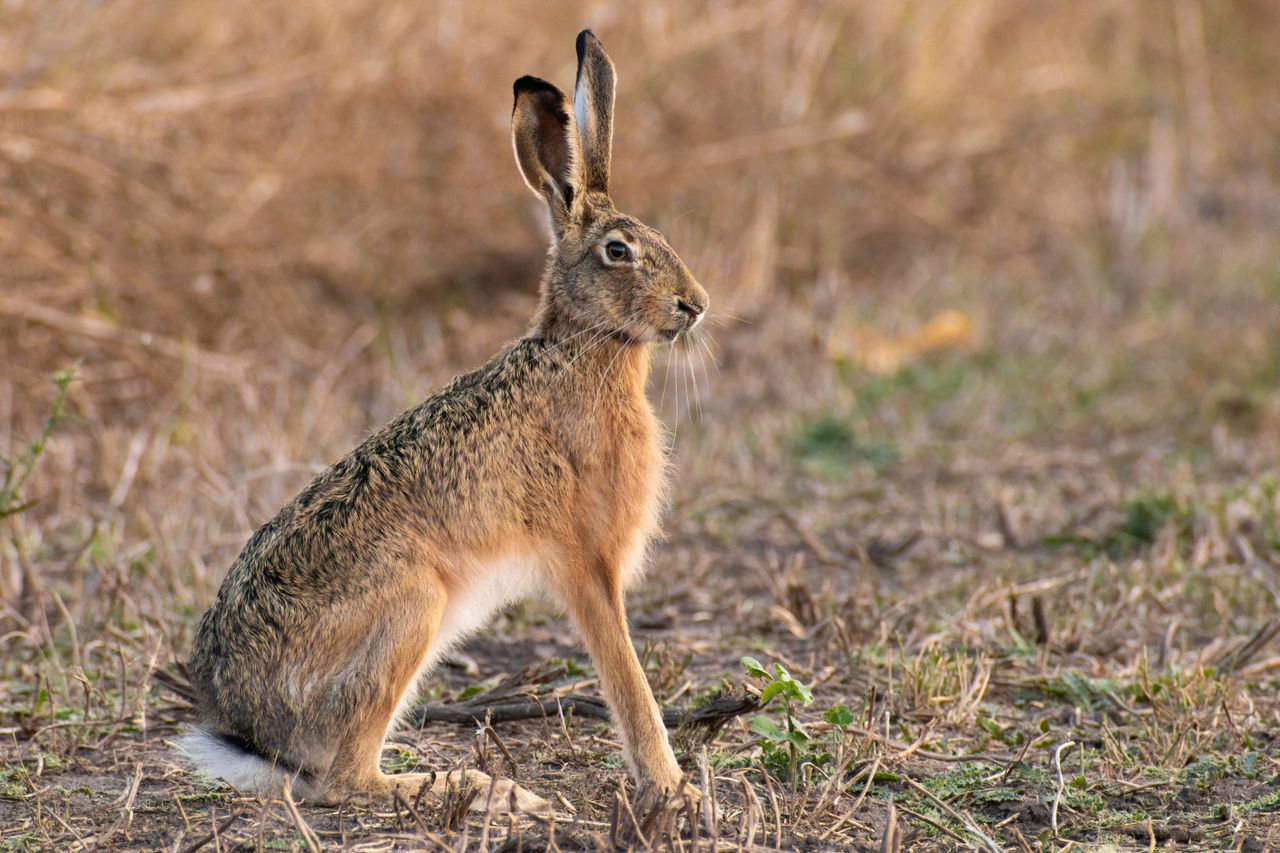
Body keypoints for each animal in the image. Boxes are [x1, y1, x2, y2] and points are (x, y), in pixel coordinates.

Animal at [178, 29, 710, 812]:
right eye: (619, 251)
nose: (695, 305)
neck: (584, 348)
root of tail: (247, 733)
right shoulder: (588, 561)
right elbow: (627, 679)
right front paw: (675, 788)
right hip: (411, 606)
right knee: (347, 780)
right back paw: (488, 790)